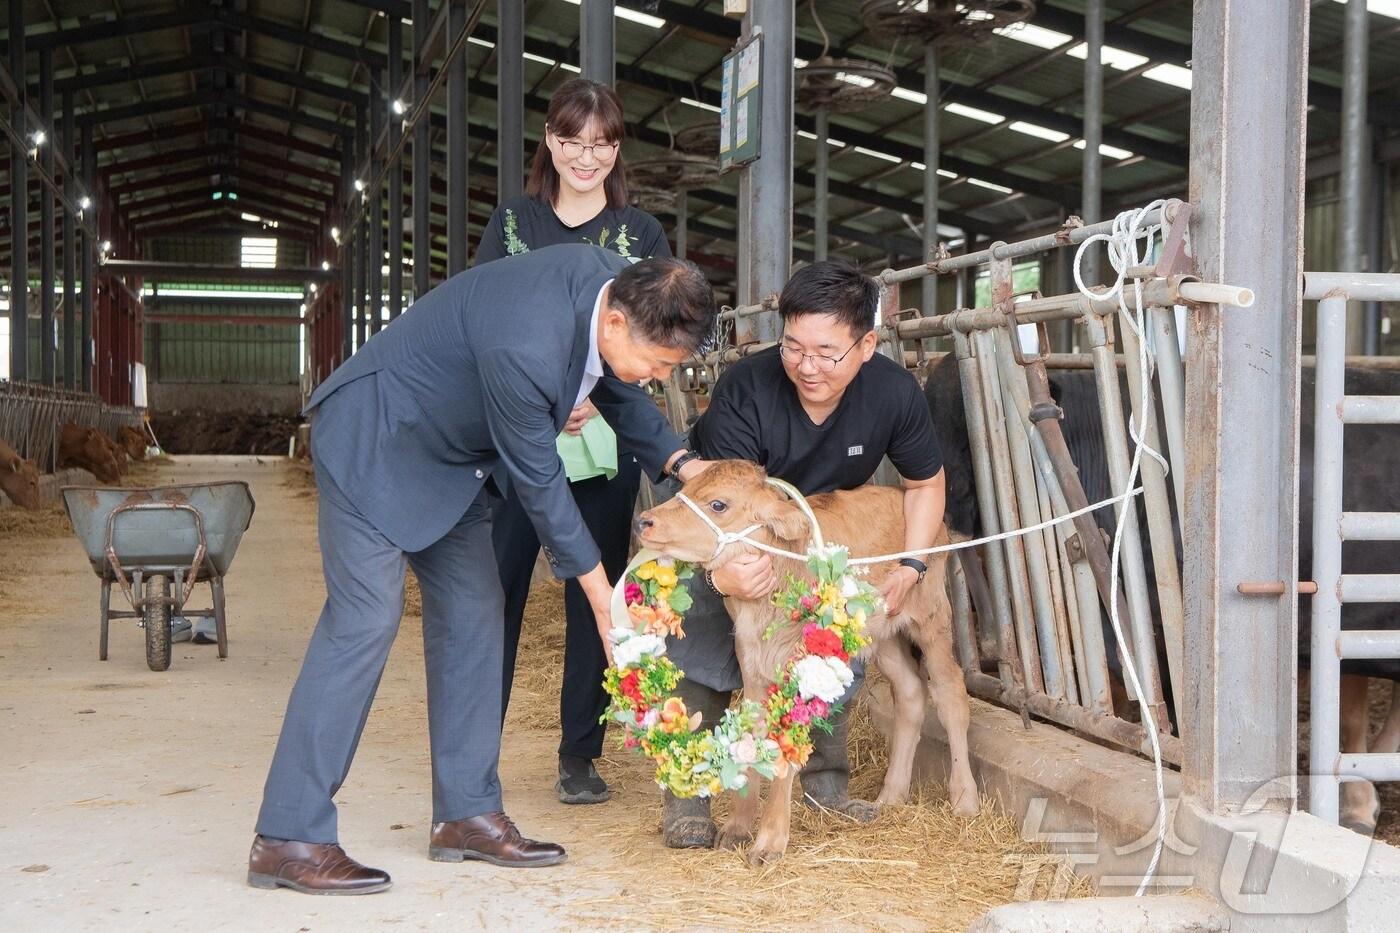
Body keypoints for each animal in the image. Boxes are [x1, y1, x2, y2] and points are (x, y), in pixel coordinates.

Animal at [641, 462, 980, 862]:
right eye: (687, 486)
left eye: (718, 504)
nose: (645, 521)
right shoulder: (752, 666)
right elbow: (750, 742)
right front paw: (737, 829)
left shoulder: (802, 670)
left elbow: (785, 750)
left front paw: (769, 843)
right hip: (881, 635)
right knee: (911, 691)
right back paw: (890, 796)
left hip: (931, 618)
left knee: (950, 691)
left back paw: (965, 800)